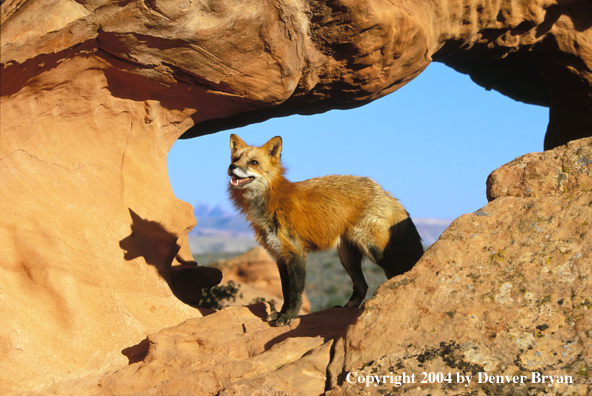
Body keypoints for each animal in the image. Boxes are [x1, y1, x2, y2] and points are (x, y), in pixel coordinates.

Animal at [224, 135, 424, 326]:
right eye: (236, 158)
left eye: (253, 162)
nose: (231, 166)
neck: (272, 201)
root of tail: (381, 189)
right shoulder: (280, 255)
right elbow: (284, 292)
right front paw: (280, 314)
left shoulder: (296, 253)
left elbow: (294, 292)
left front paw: (288, 317)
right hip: (347, 255)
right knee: (362, 286)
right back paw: (346, 308)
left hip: (373, 249)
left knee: (394, 274)